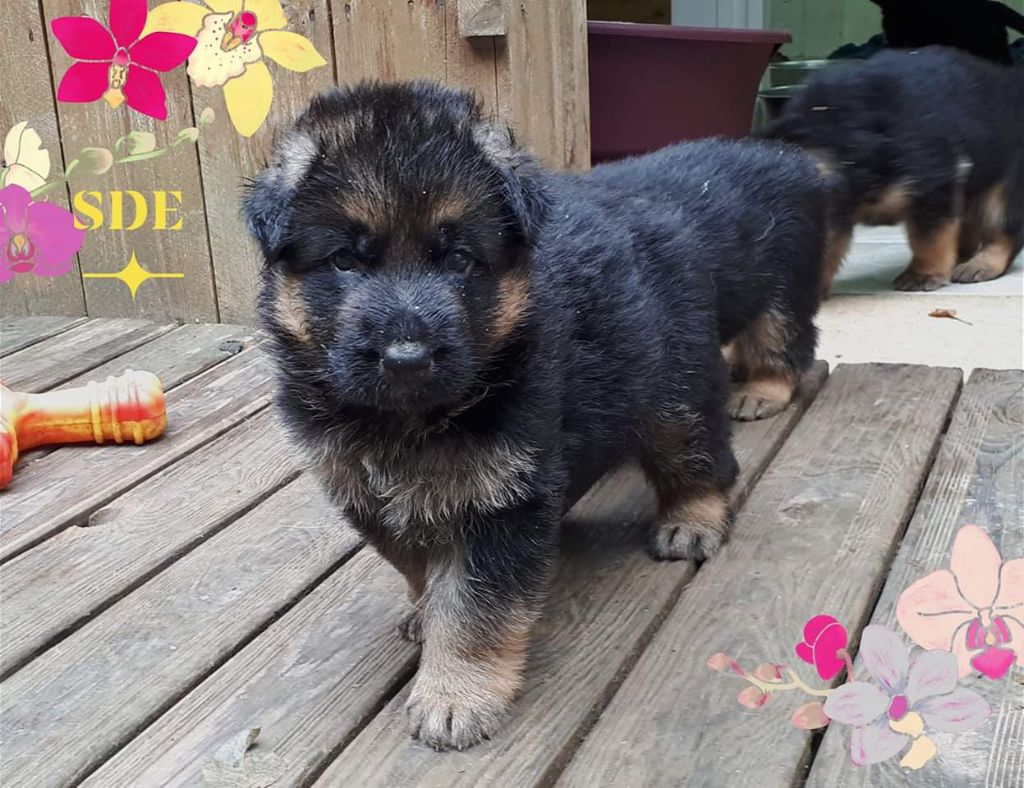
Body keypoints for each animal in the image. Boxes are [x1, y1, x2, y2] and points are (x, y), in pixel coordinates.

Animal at [770, 48, 1024, 294]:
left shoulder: (932, 184)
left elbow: (927, 237)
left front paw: (922, 275)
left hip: (1007, 179)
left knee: (1001, 226)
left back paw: (981, 264)